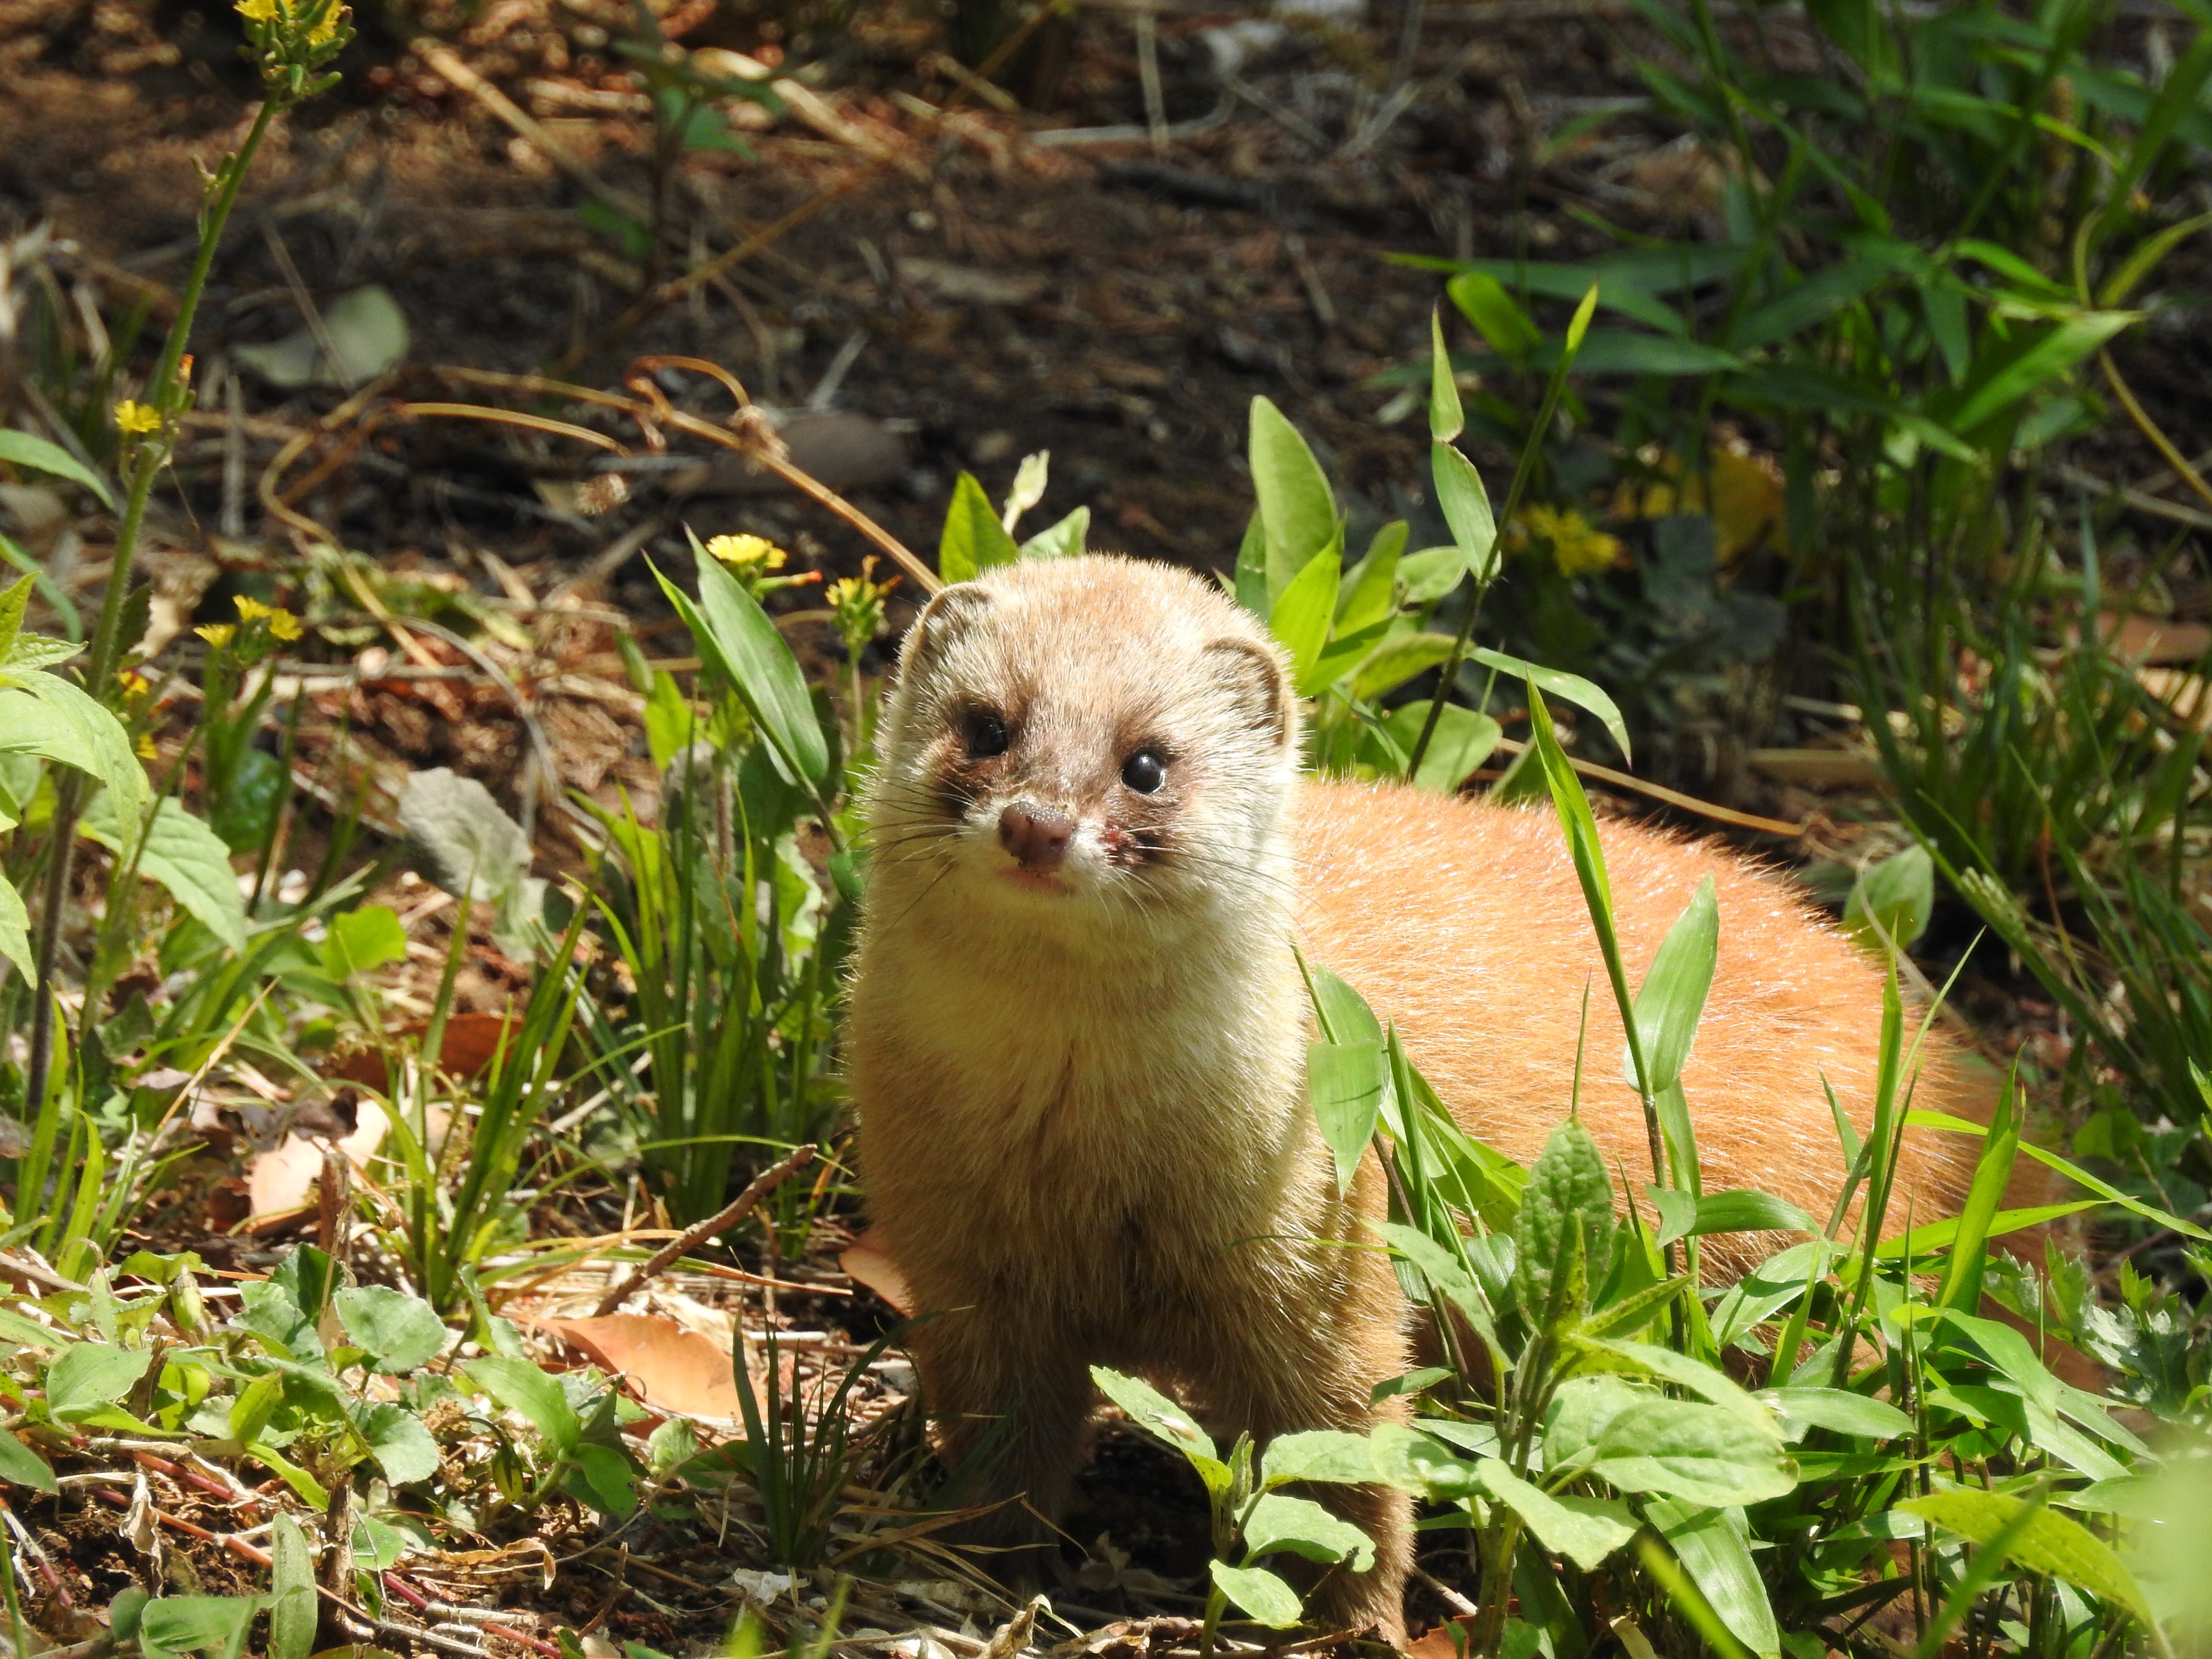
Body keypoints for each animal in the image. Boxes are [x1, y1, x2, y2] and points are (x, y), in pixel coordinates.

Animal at [849, 555, 1991, 1636]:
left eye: (1147, 761)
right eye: (985, 724)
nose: (1037, 824)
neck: (1085, 1158)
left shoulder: (1322, 1247)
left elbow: (1344, 1460)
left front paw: (1356, 1620)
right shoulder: (960, 1265)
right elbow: (1002, 1450)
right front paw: (987, 1568)